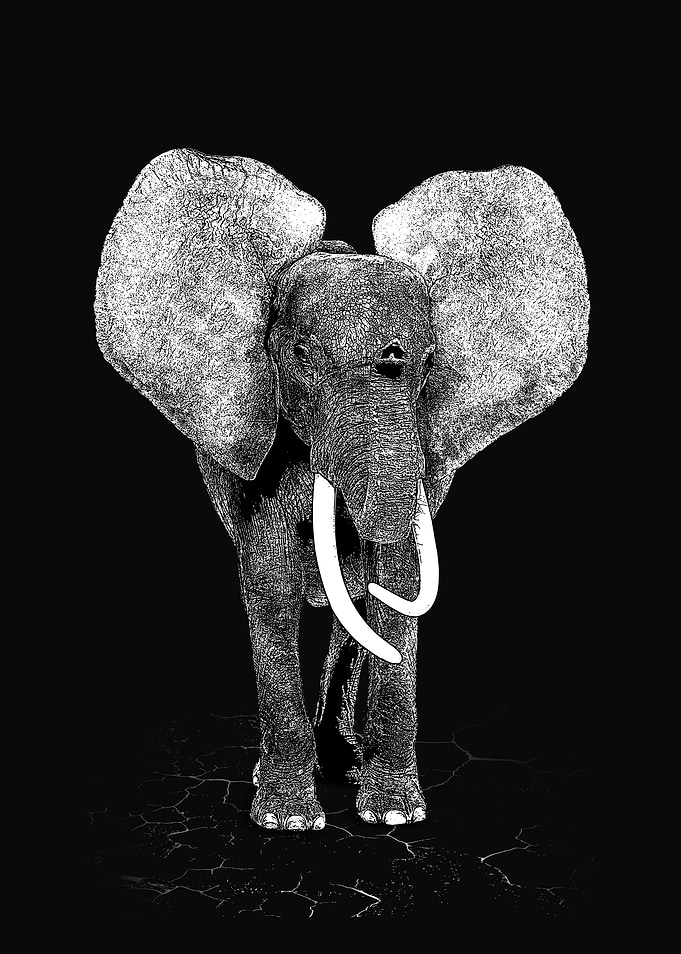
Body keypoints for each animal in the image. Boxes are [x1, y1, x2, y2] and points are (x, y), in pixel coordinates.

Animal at [94, 149, 589, 832]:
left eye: (427, 363)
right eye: (300, 355)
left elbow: (397, 579)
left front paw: (396, 815)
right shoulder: (270, 451)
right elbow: (268, 578)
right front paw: (287, 821)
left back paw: (344, 760)